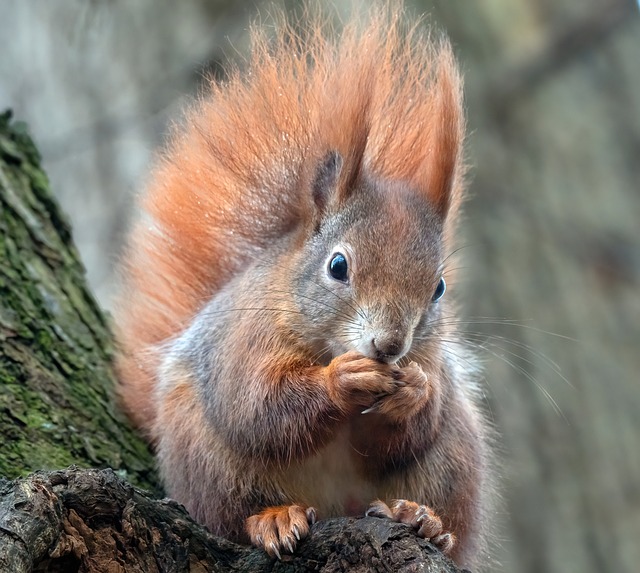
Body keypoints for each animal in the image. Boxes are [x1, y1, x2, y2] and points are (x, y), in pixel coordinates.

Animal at [114, 3, 490, 568]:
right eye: (337, 266)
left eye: (440, 287)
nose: (390, 345)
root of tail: (336, 508)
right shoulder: (244, 340)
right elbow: (258, 405)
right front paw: (343, 380)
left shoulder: (430, 366)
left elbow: (407, 431)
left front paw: (415, 392)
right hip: (206, 458)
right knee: (229, 513)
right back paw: (271, 519)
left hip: (453, 461)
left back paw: (423, 519)